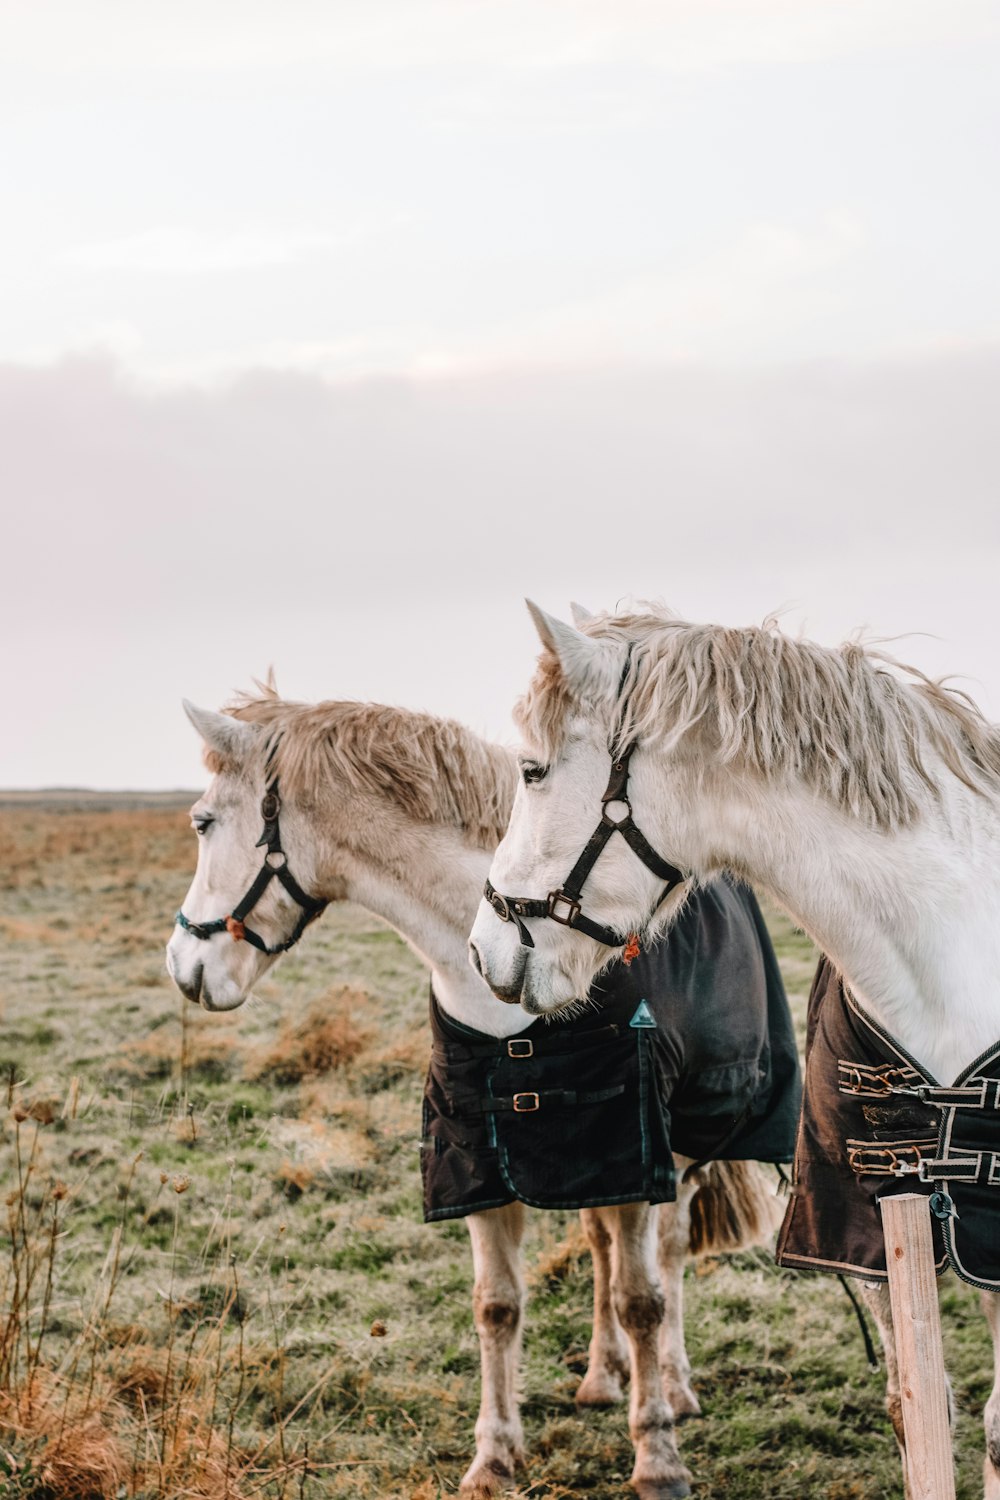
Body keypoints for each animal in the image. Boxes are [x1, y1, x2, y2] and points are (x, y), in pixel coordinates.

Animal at [167, 687, 779, 1500]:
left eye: (203, 822)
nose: (181, 964)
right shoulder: (483, 1163)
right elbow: (498, 1307)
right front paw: (493, 1457)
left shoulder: (632, 1149)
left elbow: (642, 1300)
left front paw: (658, 1459)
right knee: (600, 1248)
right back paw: (602, 1375)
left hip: (678, 1152)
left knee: (669, 1254)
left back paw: (673, 1387)